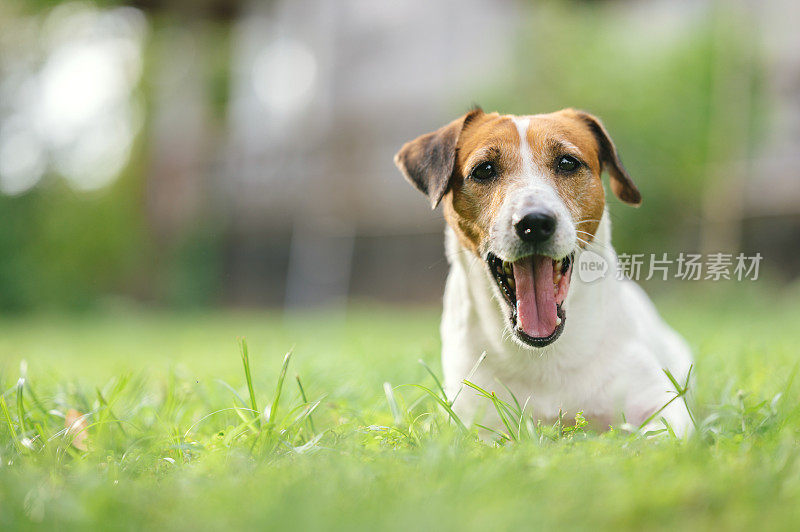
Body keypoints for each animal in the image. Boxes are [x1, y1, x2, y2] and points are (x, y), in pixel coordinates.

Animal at [396, 108, 692, 436]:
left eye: (567, 163)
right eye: (484, 170)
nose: (534, 222)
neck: (544, 355)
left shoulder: (659, 402)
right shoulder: (474, 422)